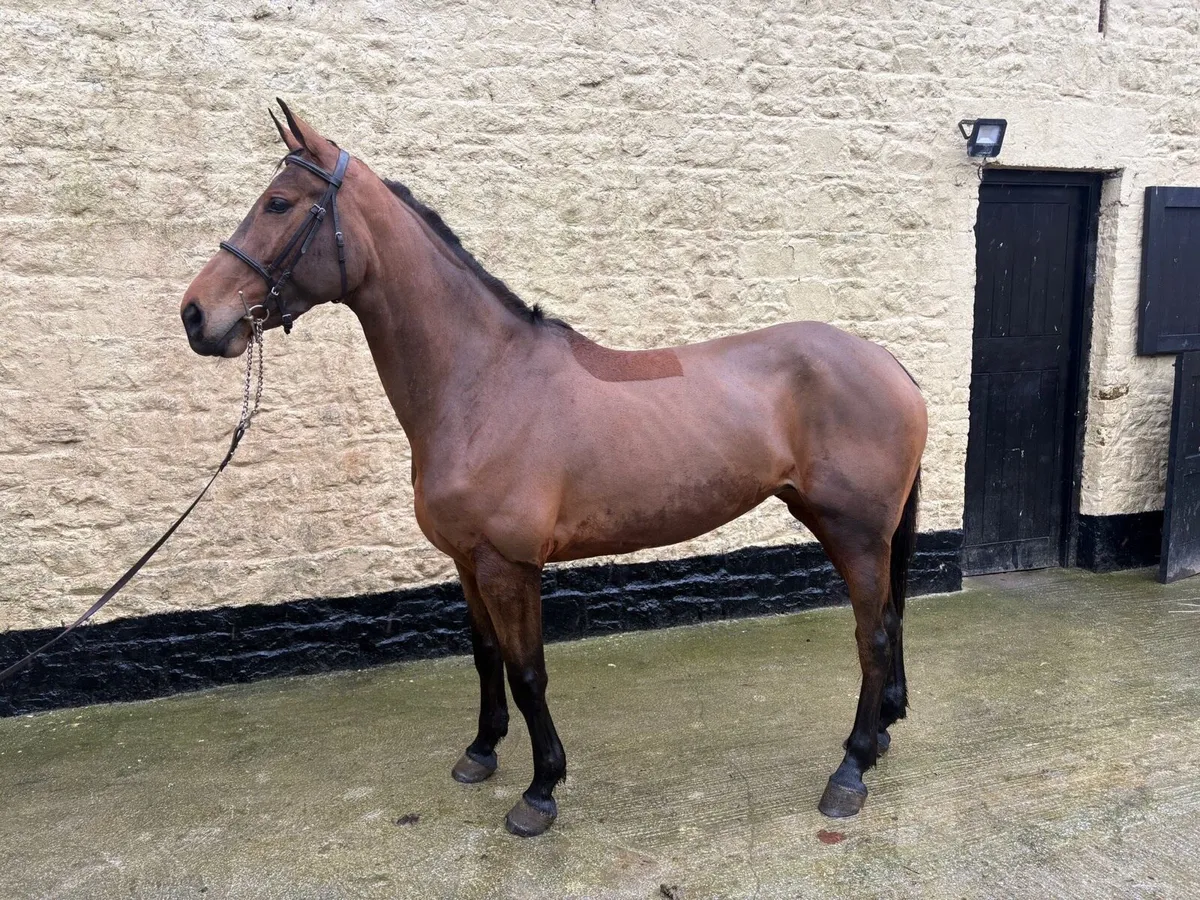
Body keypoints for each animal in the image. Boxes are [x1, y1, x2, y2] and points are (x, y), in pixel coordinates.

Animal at [181, 101, 927, 838]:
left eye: (278, 203)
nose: (195, 314)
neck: (486, 384)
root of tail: (888, 362)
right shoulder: (467, 560)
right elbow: (485, 656)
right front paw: (481, 752)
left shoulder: (510, 566)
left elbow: (528, 672)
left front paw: (540, 790)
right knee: (888, 624)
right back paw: (881, 736)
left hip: (853, 533)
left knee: (874, 633)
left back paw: (850, 770)